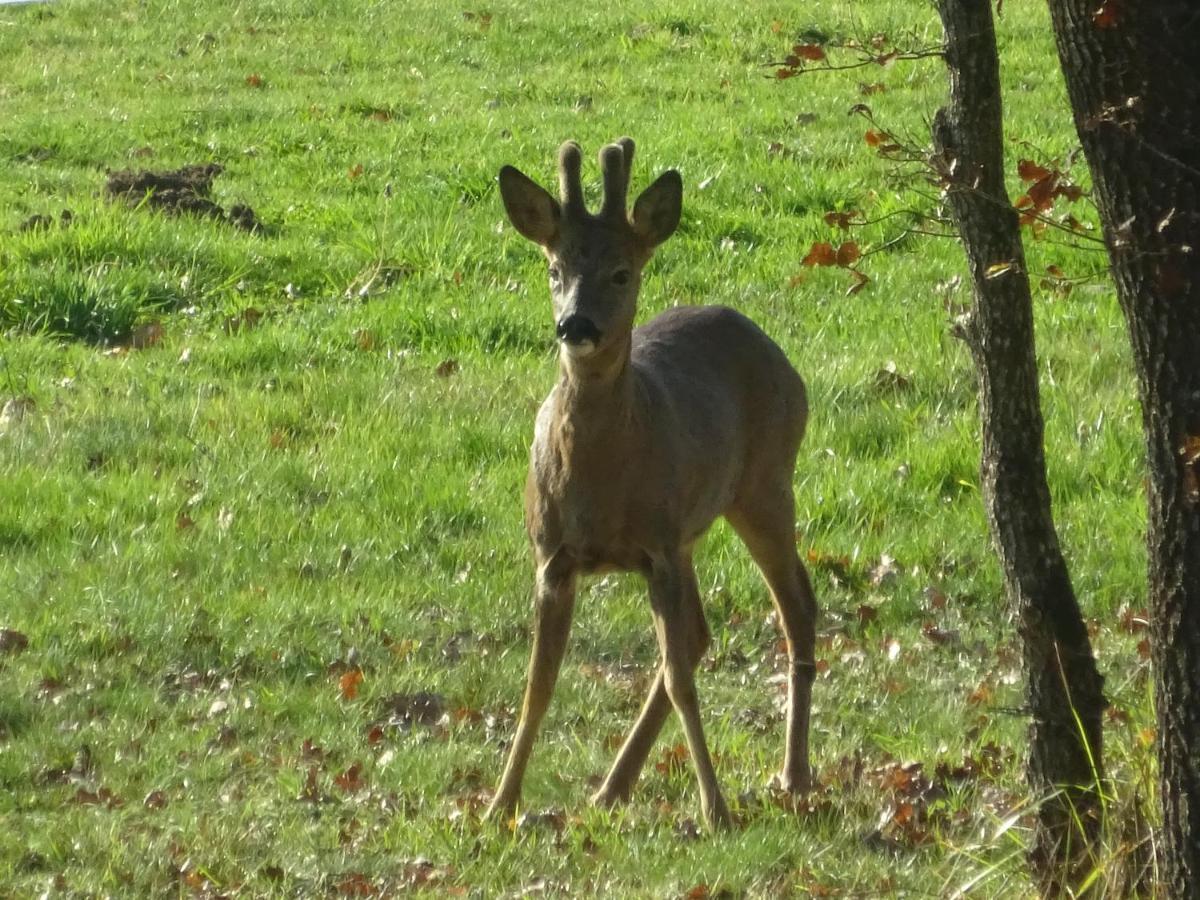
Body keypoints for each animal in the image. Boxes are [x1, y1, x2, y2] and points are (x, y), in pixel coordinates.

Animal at [484, 135, 816, 830]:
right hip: (692, 530)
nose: (576, 325)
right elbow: (537, 686)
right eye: (554, 270)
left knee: (796, 608)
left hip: (766, 483)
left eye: (621, 272)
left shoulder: (656, 548)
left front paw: (716, 809)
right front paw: (499, 805)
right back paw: (611, 788)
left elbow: (681, 679)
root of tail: (765, 340)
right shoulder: (553, 556)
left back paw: (794, 773)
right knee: (699, 636)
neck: (602, 485)